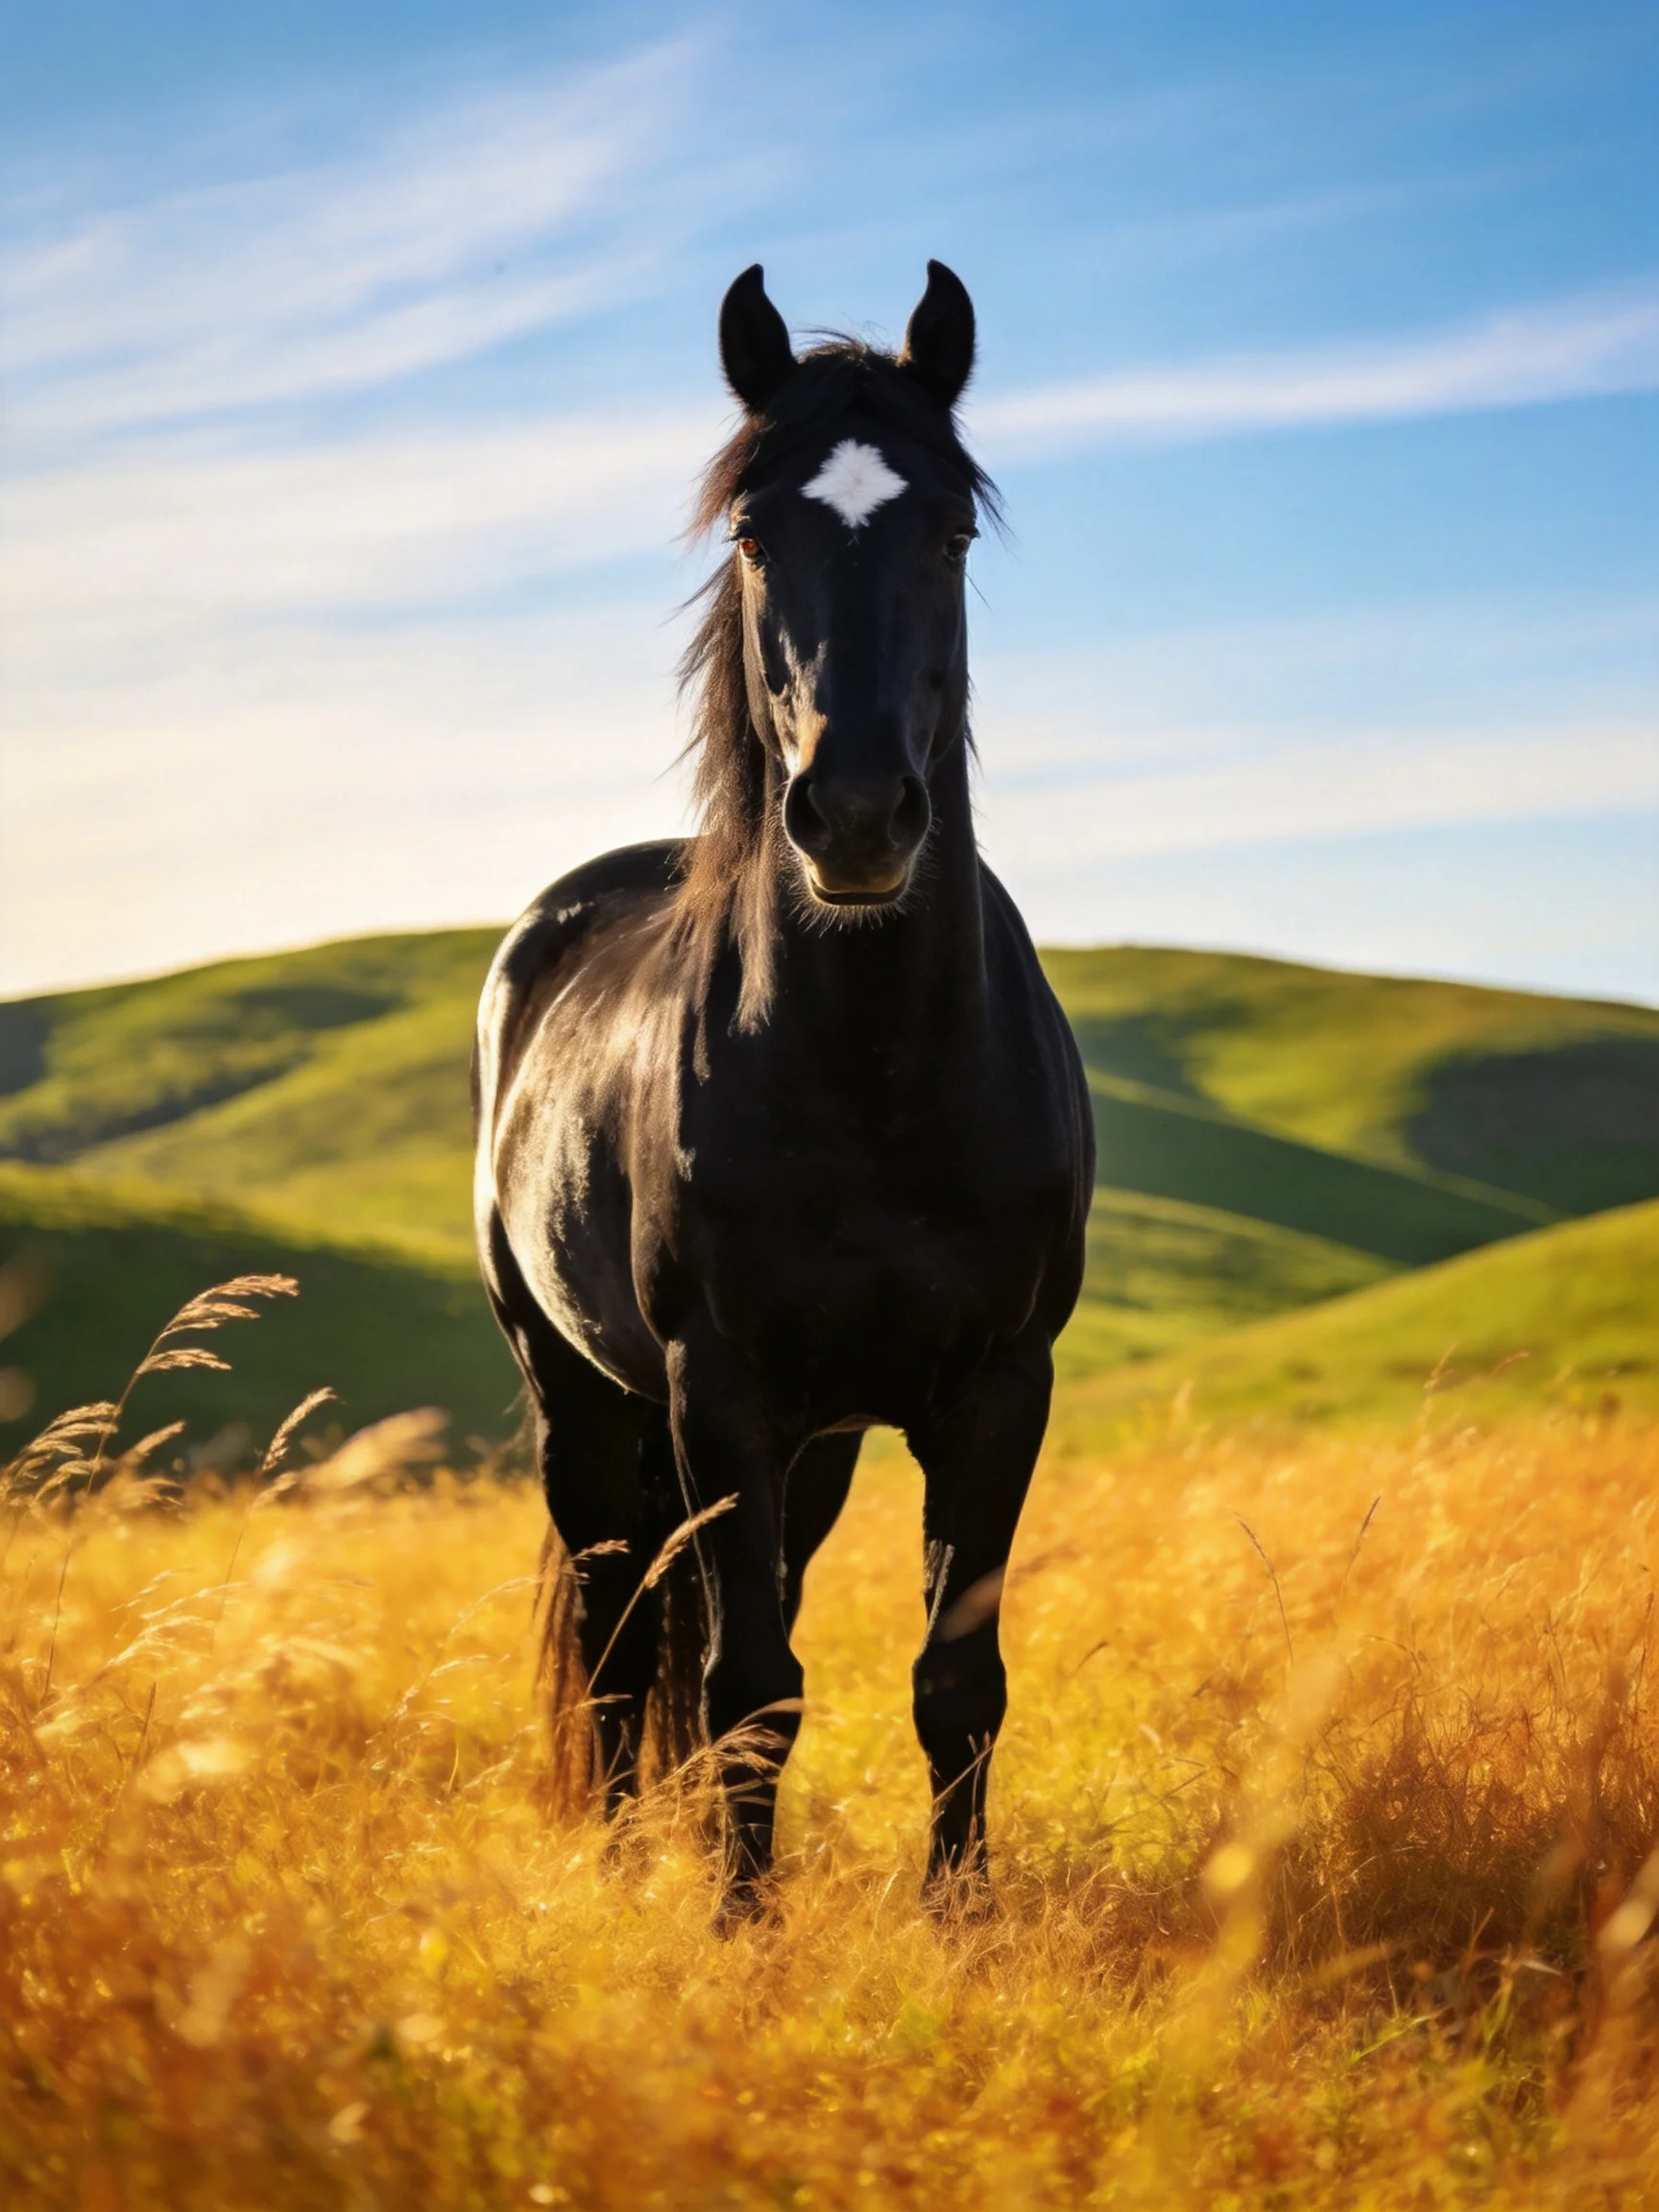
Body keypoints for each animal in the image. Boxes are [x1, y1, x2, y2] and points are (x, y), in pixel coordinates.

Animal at [473, 260, 1094, 1912]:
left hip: (812, 1446)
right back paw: (631, 1851)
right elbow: (748, 1681)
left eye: (950, 530)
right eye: (757, 534)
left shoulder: (993, 1394)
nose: (859, 816)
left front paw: (959, 1920)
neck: (876, 1074)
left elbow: (956, 1681)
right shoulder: (723, 1390)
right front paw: (737, 1924)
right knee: (624, 1633)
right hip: (582, 1400)